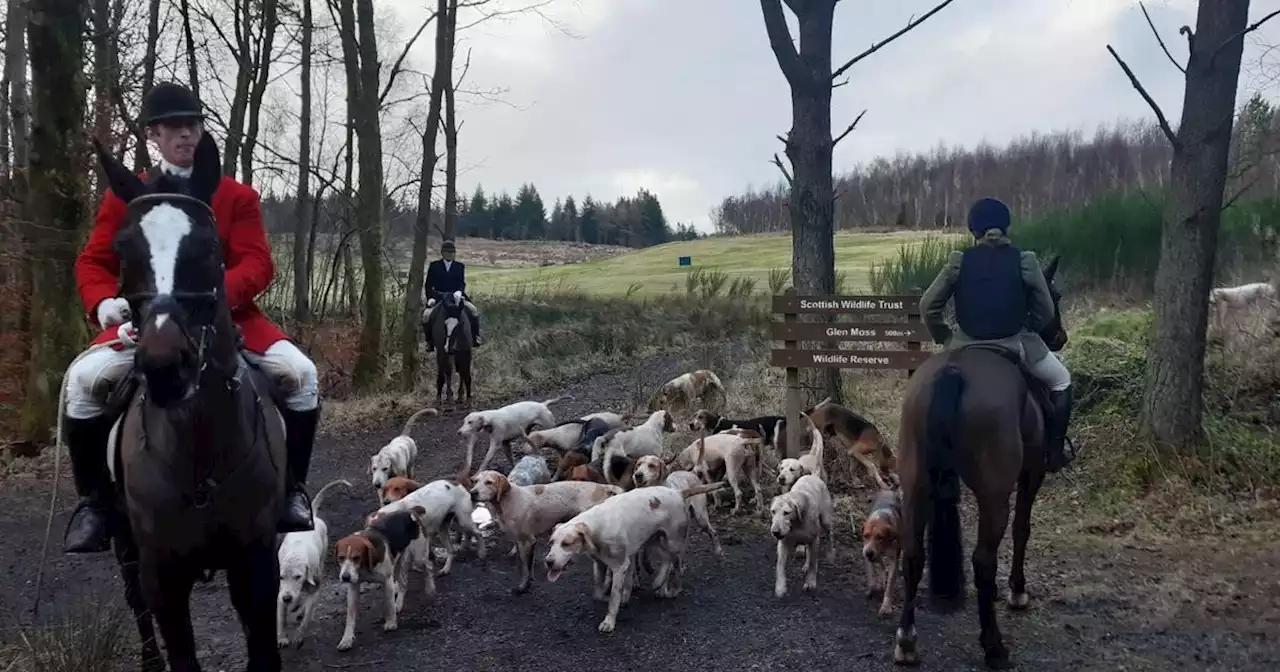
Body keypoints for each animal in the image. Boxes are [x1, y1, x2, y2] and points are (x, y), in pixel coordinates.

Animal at [94, 133, 288, 665]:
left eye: (208, 246)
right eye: (122, 248)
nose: (164, 367)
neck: (199, 448)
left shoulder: (256, 560)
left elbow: (262, 646)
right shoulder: (163, 575)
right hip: (126, 545)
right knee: (135, 603)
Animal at [890, 254, 1070, 665]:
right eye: (1053, 295)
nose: (1059, 338)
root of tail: (954, 370)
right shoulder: (1031, 474)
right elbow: (1022, 529)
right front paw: (1017, 591)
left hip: (917, 483)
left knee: (913, 553)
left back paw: (907, 641)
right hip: (994, 494)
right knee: (983, 560)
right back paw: (994, 645)